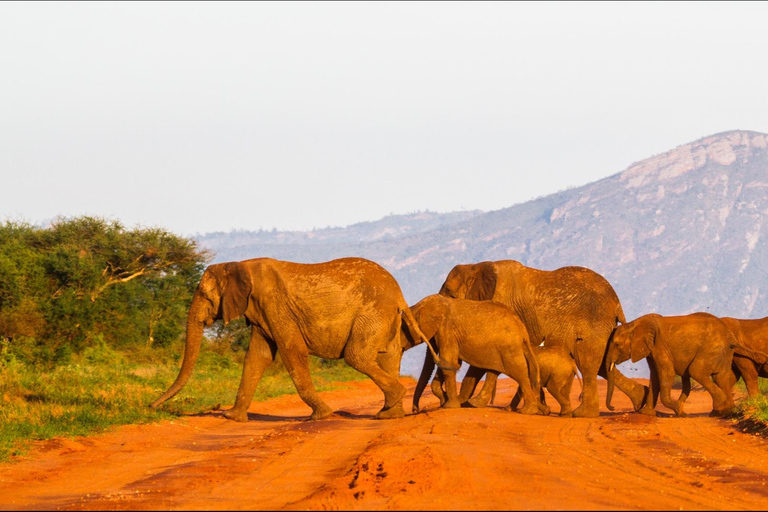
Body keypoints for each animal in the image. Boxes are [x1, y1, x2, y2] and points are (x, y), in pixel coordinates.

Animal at [147, 256, 448, 420]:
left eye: (205, 296)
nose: (151, 406)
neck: (240, 265)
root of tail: (399, 293)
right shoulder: (262, 312)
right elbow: (257, 356)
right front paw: (232, 417)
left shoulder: (275, 306)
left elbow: (291, 352)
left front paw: (321, 416)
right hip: (384, 317)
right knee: (387, 357)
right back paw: (388, 414)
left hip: (371, 312)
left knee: (357, 356)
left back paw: (390, 404)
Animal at [412, 296, 548, 416]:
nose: (415, 410)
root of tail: (523, 332)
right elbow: (450, 362)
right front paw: (447, 401)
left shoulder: (447, 330)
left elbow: (449, 361)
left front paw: (449, 404)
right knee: (495, 371)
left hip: (509, 349)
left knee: (519, 373)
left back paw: (528, 411)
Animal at [438, 258, 648, 418]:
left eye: (450, 293)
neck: (476, 266)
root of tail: (617, 304)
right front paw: (464, 402)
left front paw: (471, 403)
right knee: (603, 365)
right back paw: (641, 401)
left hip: (593, 325)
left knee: (588, 363)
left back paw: (582, 414)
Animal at [608, 312, 736, 416]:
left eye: (617, 344)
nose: (613, 408)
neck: (634, 324)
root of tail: (729, 336)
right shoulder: (650, 349)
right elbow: (654, 377)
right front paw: (646, 413)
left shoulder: (659, 345)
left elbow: (667, 373)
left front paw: (679, 410)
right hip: (723, 353)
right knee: (721, 378)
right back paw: (724, 411)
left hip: (711, 349)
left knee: (696, 372)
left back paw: (720, 405)